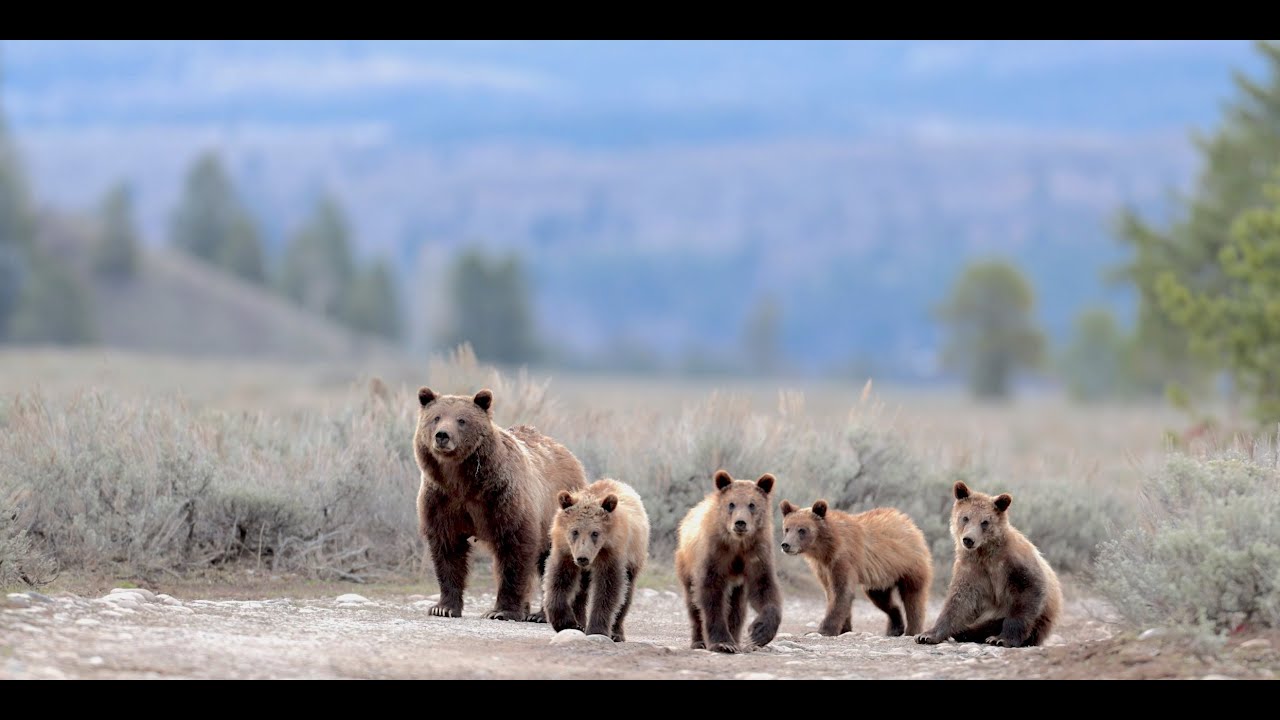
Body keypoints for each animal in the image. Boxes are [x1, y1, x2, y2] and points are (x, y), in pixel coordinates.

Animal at [414, 387, 587, 621]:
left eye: (462, 420)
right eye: (436, 417)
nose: (442, 435)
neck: (462, 480)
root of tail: (570, 455)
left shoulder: (502, 498)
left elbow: (514, 549)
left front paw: (500, 611)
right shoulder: (441, 500)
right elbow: (447, 550)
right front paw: (443, 607)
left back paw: (543, 614)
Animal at [542, 478, 650, 641]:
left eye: (595, 533)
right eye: (575, 531)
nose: (582, 558)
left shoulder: (611, 554)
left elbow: (608, 589)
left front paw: (597, 629)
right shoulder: (565, 551)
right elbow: (559, 581)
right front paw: (567, 623)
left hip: (634, 556)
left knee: (626, 593)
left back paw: (616, 633)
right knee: (580, 592)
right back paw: (580, 622)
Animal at [674, 469, 782, 654]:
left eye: (752, 504)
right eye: (731, 504)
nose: (740, 523)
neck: (737, 544)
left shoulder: (757, 554)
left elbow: (764, 588)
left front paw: (758, 632)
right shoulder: (715, 554)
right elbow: (711, 594)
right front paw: (723, 643)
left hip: (738, 584)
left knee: (737, 607)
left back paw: (736, 638)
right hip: (686, 564)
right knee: (693, 604)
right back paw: (698, 641)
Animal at [779, 499, 932, 637]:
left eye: (802, 530)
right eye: (787, 529)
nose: (786, 545)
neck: (826, 549)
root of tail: (910, 523)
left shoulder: (844, 559)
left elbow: (842, 592)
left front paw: (823, 630)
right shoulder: (823, 568)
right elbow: (831, 592)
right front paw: (844, 628)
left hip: (908, 565)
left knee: (913, 596)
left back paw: (912, 630)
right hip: (881, 576)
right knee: (882, 599)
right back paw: (895, 628)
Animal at [915, 481, 1063, 648]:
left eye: (985, 522)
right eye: (965, 517)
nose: (968, 539)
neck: (985, 553)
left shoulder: (1015, 565)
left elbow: (1027, 595)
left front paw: (1001, 638)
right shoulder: (972, 569)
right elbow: (958, 601)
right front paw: (927, 635)